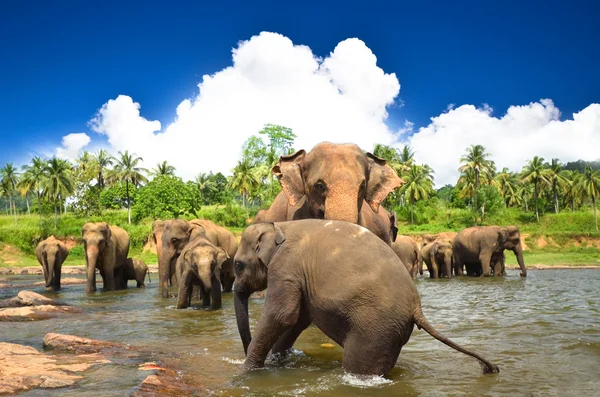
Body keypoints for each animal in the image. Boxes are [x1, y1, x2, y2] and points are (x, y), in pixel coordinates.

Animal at [232, 218, 500, 376]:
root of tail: (417, 307)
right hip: (389, 333)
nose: (244, 352)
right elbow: (297, 320)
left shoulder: (286, 266)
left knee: (359, 365)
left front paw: (246, 370)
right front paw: (275, 362)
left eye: (237, 265)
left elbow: (283, 315)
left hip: (374, 328)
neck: (278, 225)